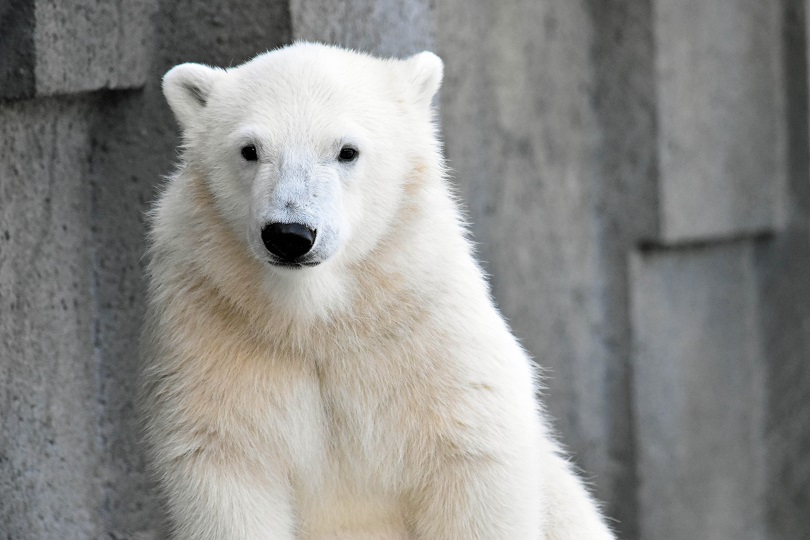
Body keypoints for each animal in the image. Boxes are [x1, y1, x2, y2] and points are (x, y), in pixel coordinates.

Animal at [144, 43, 612, 540]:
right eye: (249, 149)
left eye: (347, 151)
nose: (290, 234)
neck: (317, 318)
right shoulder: (214, 328)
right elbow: (226, 458)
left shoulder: (425, 333)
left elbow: (472, 457)